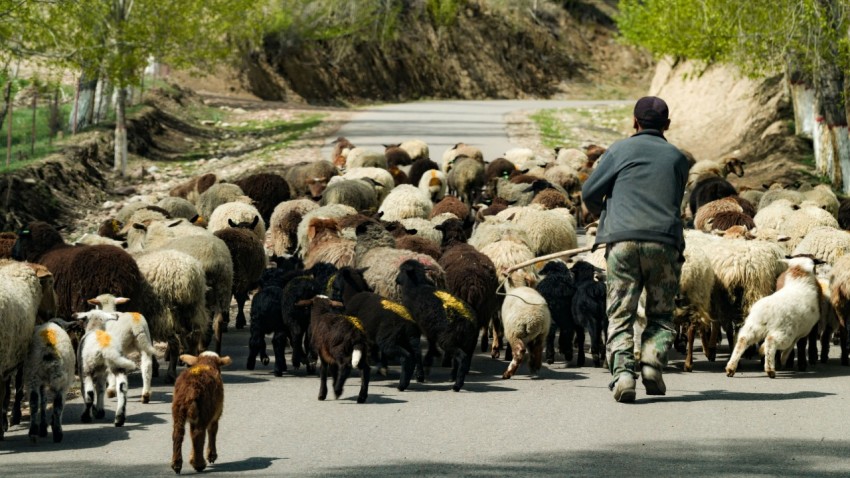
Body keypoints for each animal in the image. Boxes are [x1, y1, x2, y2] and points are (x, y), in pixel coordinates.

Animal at [392, 260, 474, 390]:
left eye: (402, 269)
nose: (396, 280)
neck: (415, 288)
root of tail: (468, 320)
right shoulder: (429, 327)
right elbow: (430, 343)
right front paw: (429, 360)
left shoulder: (416, 327)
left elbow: (417, 350)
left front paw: (420, 375)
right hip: (466, 341)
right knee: (461, 359)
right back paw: (453, 377)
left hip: (448, 340)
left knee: (462, 358)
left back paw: (457, 385)